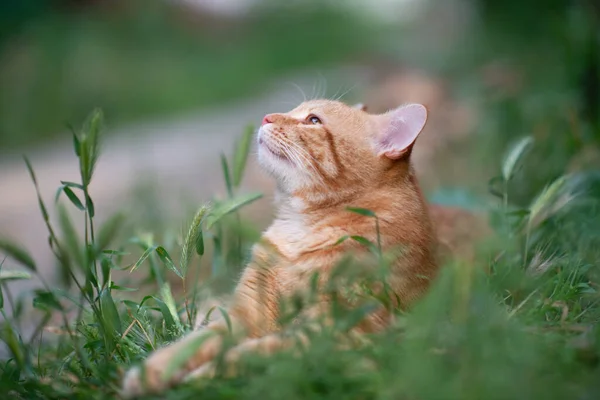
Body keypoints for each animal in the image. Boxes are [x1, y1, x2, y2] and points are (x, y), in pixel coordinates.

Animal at [124, 98, 486, 396]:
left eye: (313, 120)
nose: (267, 116)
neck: (299, 230)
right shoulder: (244, 315)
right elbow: (192, 343)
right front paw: (152, 372)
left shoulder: (332, 334)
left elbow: (252, 354)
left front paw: (203, 376)